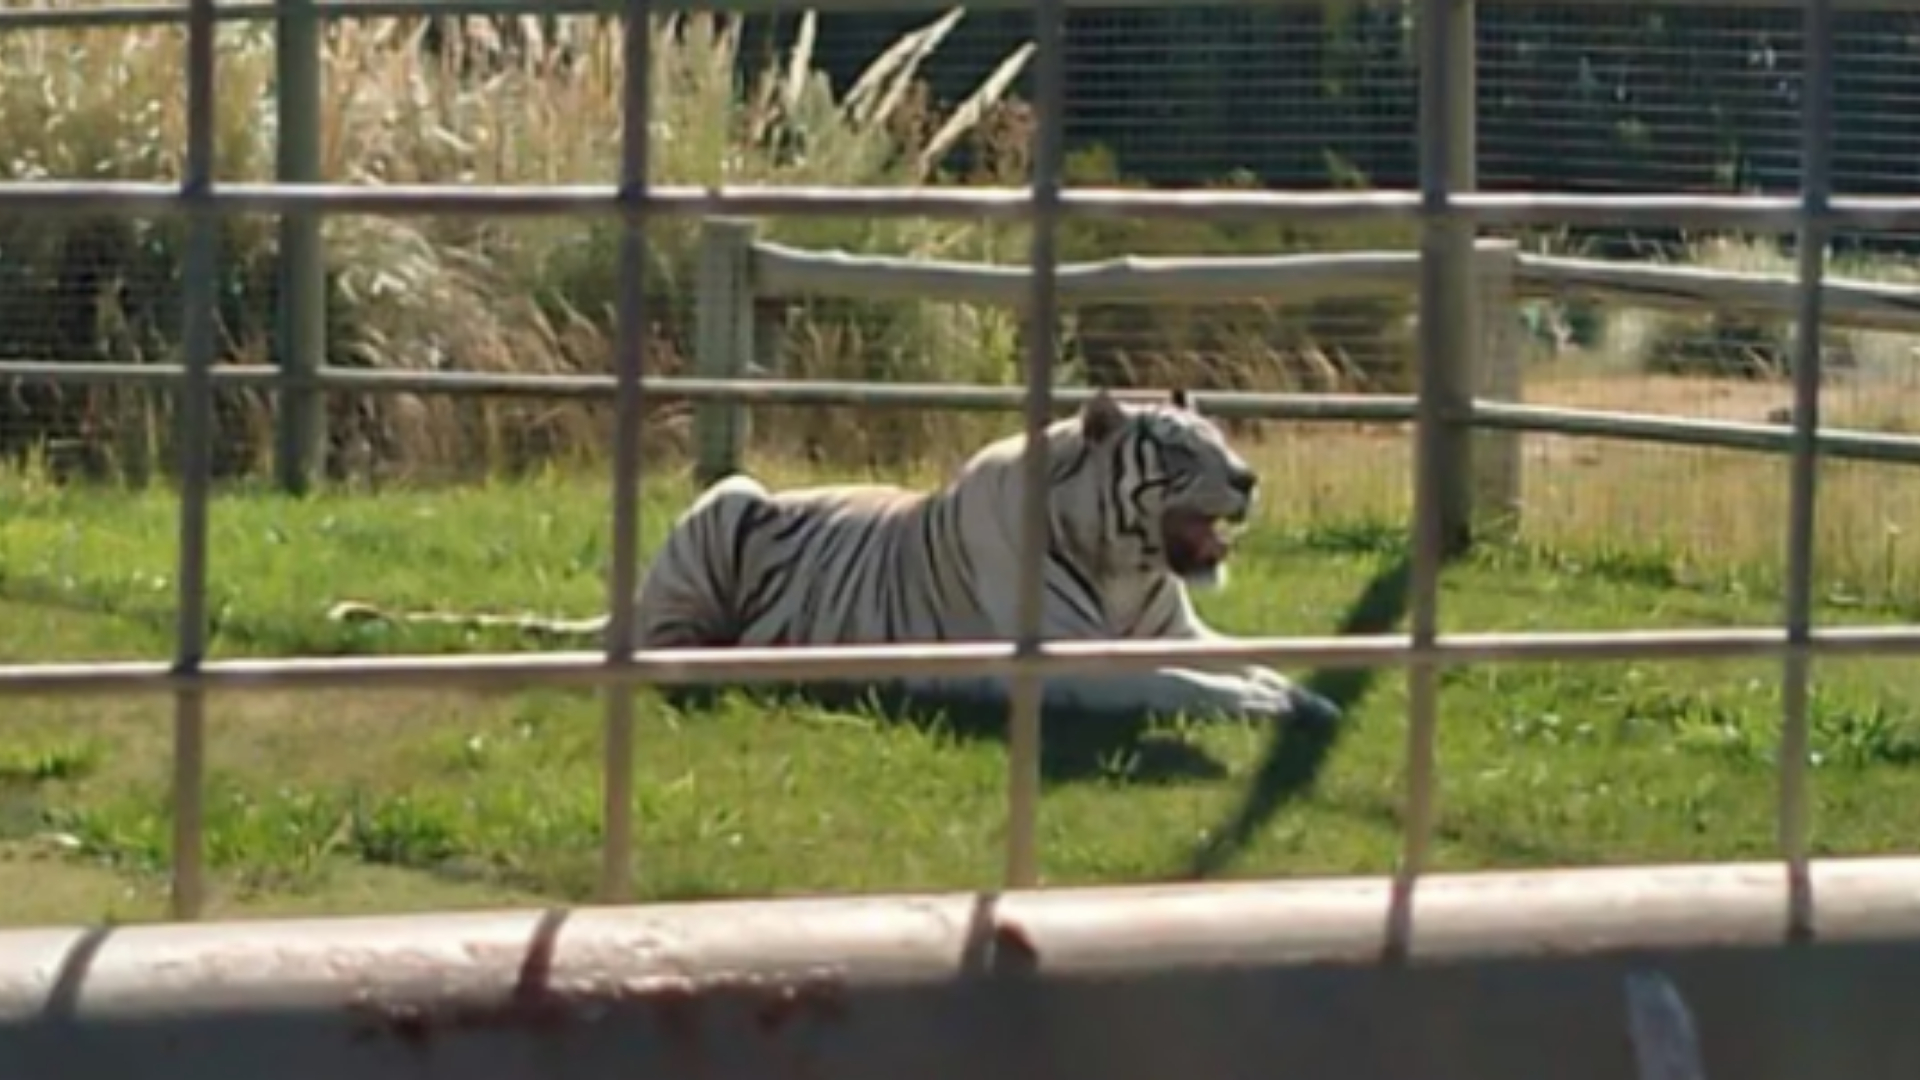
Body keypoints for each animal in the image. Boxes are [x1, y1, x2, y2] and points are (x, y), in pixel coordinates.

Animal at [326, 386, 1336, 722]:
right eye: (1178, 453)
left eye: (1223, 439)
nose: (1249, 478)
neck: (1125, 562)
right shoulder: (1070, 664)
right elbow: (1189, 686)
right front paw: (1272, 704)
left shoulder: (1181, 628)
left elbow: (1237, 658)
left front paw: (1307, 692)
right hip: (726, 500)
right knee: (676, 650)